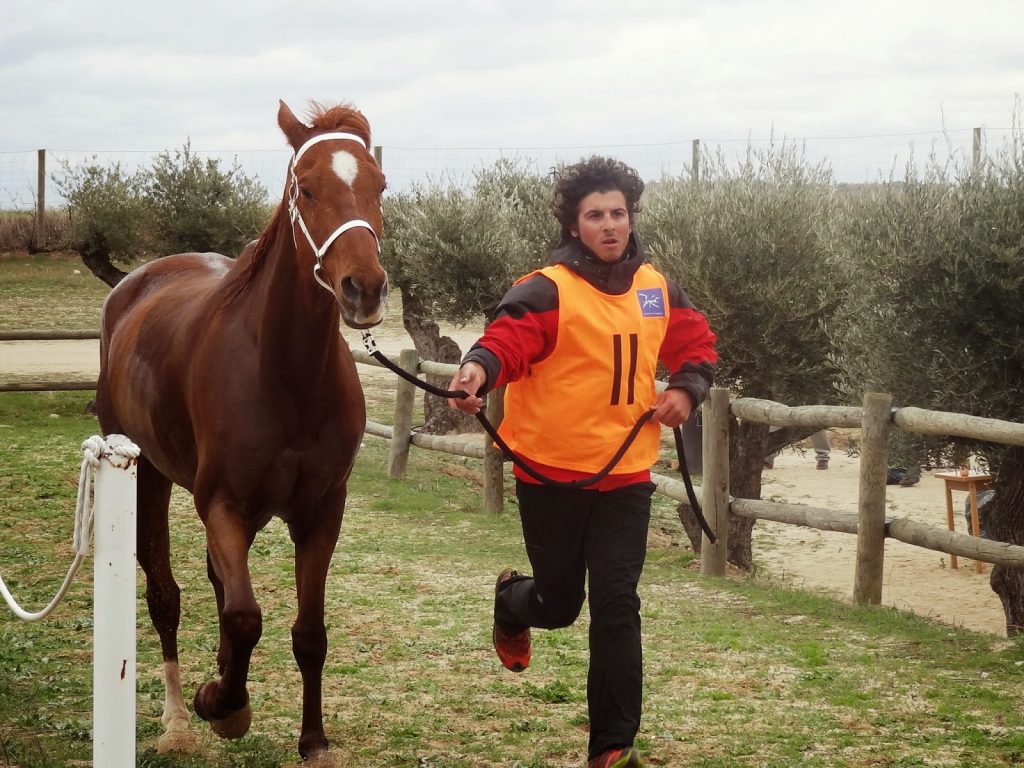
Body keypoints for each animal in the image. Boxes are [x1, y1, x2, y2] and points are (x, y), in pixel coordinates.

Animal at [96, 100, 389, 763]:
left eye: (379, 185)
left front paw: (312, 739)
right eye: (306, 188)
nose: (364, 287)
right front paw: (219, 704)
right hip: (147, 476)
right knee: (166, 594)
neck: (286, 376)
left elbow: (308, 632)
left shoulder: (320, 513)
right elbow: (245, 616)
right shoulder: (223, 505)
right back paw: (180, 718)